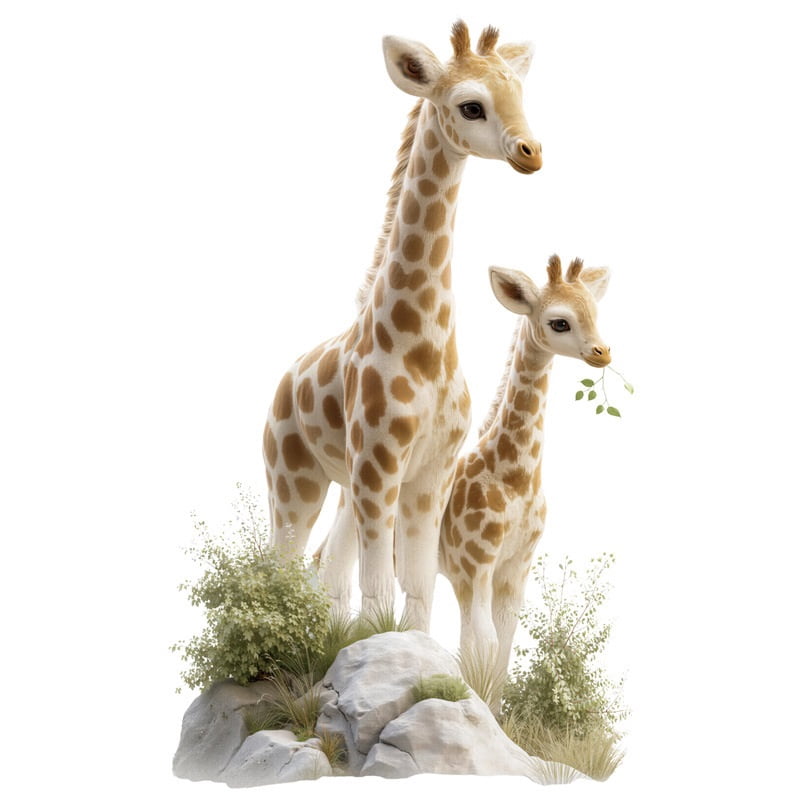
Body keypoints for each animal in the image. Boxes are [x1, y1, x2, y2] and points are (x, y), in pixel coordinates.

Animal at [263, 21, 542, 632]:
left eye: (520, 96)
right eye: (470, 106)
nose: (530, 153)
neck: (422, 342)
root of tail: (284, 379)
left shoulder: (429, 474)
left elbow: (415, 591)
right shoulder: (379, 464)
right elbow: (379, 590)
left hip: (346, 487)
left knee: (327, 570)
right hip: (294, 479)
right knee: (278, 563)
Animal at [439, 255, 611, 684]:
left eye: (595, 313)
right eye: (559, 322)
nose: (603, 352)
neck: (515, 476)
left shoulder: (514, 570)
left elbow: (500, 652)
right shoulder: (475, 566)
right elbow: (481, 646)